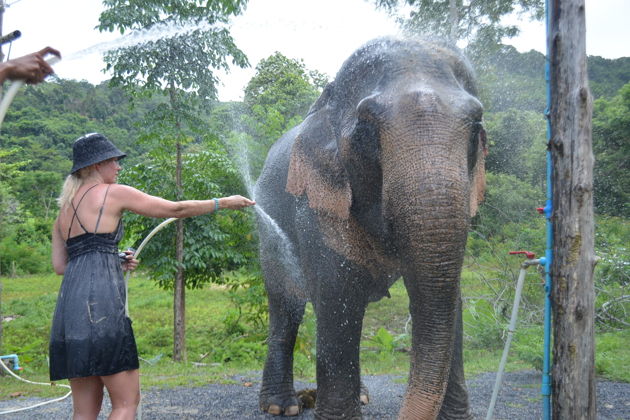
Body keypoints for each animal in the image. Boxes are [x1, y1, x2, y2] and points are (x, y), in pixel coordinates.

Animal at [253, 37, 488, 420]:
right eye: (366, 129)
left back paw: (360, 396)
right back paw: (280, 406)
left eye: (475, 123)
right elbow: (336, 293)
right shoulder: (315, 204)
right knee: (287, 304)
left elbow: (448, 299)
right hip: (267, 226)